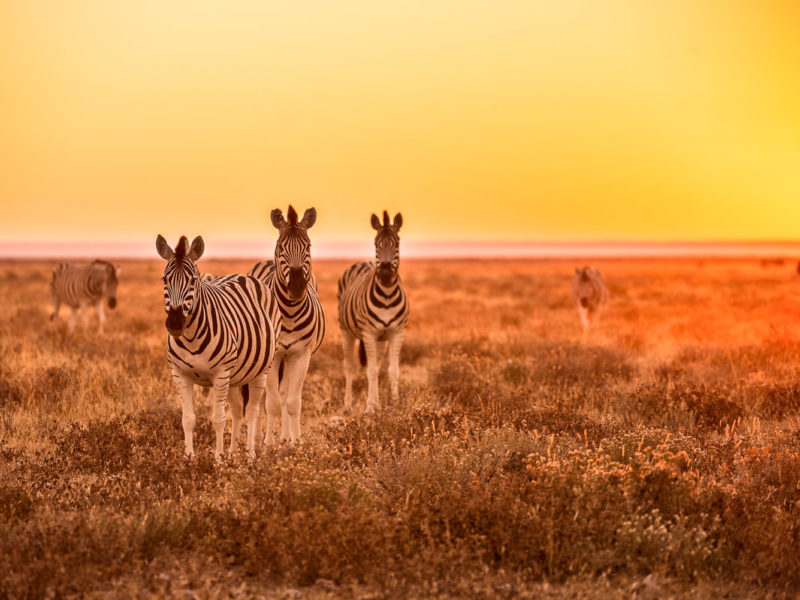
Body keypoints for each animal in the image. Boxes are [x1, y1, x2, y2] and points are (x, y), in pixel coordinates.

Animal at [155, 234, 278, 460]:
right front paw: (189, 459)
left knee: (252, 410)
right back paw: (233, 453)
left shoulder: (220, 374)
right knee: (237, 410)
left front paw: (218, 460)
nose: (175, 323)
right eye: (165, 280)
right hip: (235, 374)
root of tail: (243, 276)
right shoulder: (179, 374)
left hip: (260, 370)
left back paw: (250, 454)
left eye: (193, 280)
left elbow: (218, 419)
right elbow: (188, 419)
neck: (191, 338)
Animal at [248, 206, 326, 446]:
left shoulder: (301, 355)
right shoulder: (274, 357)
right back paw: (258, 438)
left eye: (308, 246)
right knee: (262, 398)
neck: (289, 314)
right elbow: (271, 402)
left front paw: (295, 443)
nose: (297, 288)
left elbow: (292, 401)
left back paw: (284, 437)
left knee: (284, 394)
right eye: (281, 247)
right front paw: (267, 445)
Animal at [340, 210, 410, 412]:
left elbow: (392, 370)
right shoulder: (369, 333)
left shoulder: (397, 332)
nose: (385, 274)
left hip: (380, 339)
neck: (386, 295)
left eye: (397, 243)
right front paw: (370, 408)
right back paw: (348, 405)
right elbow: (370, 371)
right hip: (347, 332)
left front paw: (394, 403)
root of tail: (364, 261)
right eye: (376, 244)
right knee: (349, 366)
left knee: (377, 366)